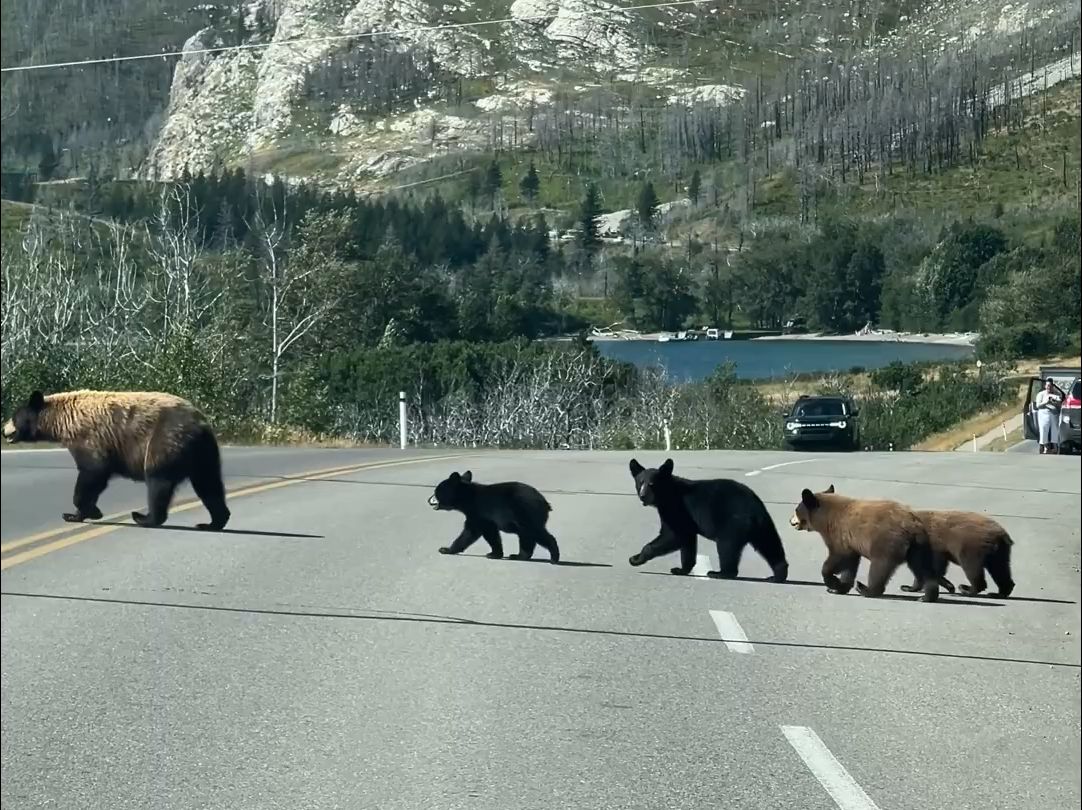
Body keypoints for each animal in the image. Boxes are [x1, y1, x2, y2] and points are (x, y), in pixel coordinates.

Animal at [3, 387, 231, 527]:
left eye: (14, 416)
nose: (4, 430)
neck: (64, 420)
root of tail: (200, 424)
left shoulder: (91, 438)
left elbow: (92, 473)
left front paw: (81, 512)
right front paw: (80, 513)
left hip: (166, 441)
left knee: (158, 481)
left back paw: (144, 517)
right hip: (204, 453)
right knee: (208, 484)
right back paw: (213, 522)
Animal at [787, 480, 939, 601]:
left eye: (796, 509)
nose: (790, 520)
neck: (826, 518)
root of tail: (912, 524)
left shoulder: (839, 533)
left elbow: (838, 556)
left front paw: (832, 582)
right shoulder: (850, 543)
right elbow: (850, 564)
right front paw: (840, 587)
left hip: (887, 543)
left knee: (880, 567)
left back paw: (866, 589)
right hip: (919, 546)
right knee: (923, 567)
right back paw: (927, 596)